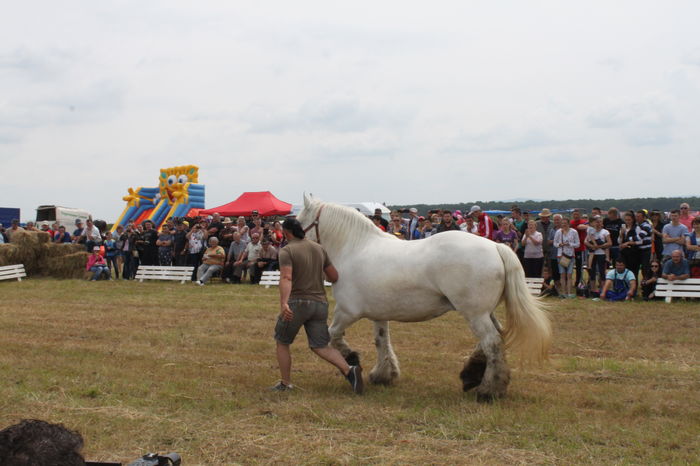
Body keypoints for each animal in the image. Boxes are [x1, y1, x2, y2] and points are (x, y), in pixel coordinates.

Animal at [297, 195, 551, 402]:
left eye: (297, 222)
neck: (355, 249)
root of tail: (496, 247)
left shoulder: (346, 312)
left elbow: (332, 337)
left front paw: (352, 358)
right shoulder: (378, 315)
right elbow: (381, 342)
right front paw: (384, 375)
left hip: (475, 314)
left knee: (492, 343)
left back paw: (489, 390)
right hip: (483, 312)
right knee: (494, 339)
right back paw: (472, 376)